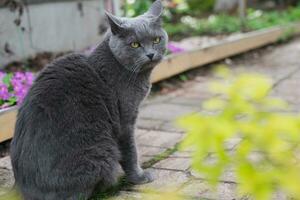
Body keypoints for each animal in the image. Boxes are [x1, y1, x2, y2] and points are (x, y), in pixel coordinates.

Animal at [9, 0, 168, 198]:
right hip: (101, 152)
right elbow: (131, 152)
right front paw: (139, 177)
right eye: (135, 44)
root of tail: (23, 188)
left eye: (156, 40)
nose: (150, 54)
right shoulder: (125, 121)